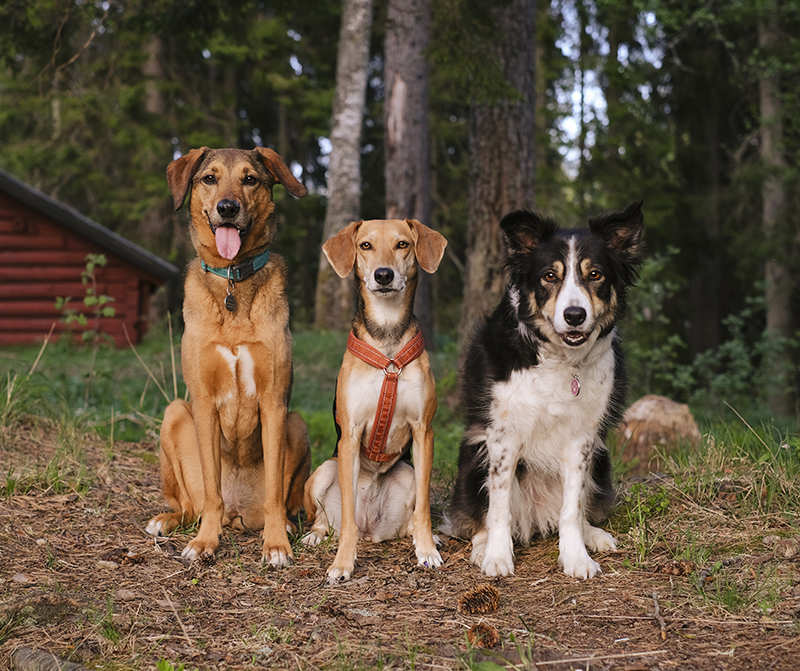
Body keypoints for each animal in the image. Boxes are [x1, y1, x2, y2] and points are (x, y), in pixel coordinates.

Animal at [147, 147, 312, 568]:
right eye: (210, 178)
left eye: (250, 179)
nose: (227, 208)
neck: (233, 281)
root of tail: (238, 513)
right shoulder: (203, 402)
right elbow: (210, 489)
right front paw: (205, 542)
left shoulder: (274, 403)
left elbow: (274, 494)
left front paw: (276, 544)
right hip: (174, 413)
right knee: (193, 505)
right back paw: (170, 520)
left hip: (297, 424)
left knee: (280, 501)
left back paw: (286, 526)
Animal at [302, 219, 446, 584]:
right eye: (365, 245)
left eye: (402, 244)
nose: (383, 275)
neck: (387, 337)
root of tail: (372, 531)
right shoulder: (350, 434)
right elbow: (348, 517)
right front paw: (343, 563)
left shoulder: (424, 431)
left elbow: (424, 509)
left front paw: (427, 549)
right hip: (324, 470)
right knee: (328, 520)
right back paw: (316, 535)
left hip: (408, 472)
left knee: (409, 518)